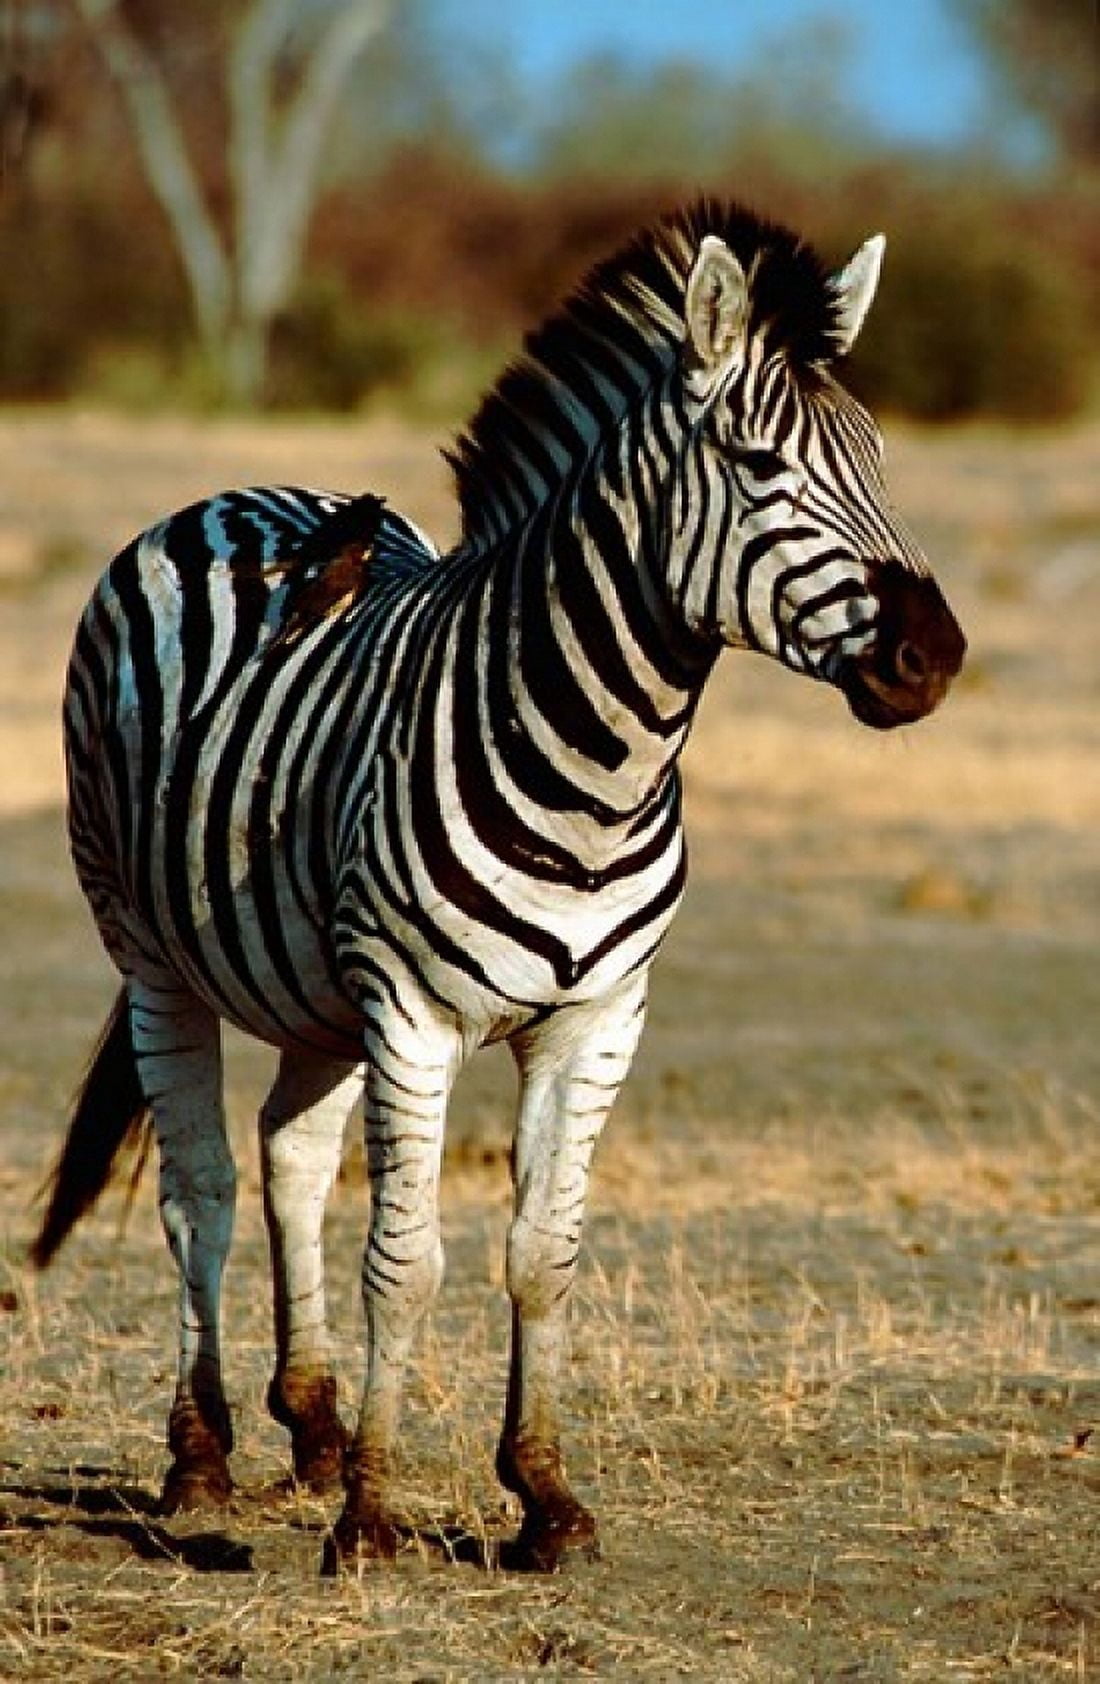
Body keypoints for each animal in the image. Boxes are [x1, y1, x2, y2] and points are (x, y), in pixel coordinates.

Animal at [32, 199, 965, 1574]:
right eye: (755, 465)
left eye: (882, 462)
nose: (933, 656)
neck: (601, 766)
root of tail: (237, 494)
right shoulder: (413, 1015)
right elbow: (407, 1261)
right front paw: (373, 1518)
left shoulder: (598, 1018)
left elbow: (543, 1252)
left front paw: (543, 1496)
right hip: (152, 950)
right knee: (199, 1189)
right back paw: (202, 1460)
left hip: (315, 985)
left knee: (289, 1151)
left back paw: (310, 1426)